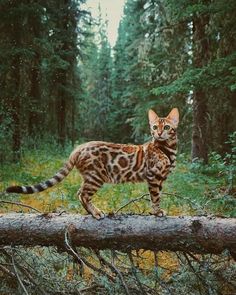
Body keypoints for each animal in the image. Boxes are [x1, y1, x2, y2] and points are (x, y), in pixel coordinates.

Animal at [6, 108, 179, 220]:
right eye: (154, 127)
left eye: (167, 127)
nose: (158, 133)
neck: (167, 148)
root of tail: (78, 148)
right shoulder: (153, 176)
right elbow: (155, 196)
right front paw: (157, 212)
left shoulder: (161, 179)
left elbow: (159, 194)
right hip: (96, 176)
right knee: (82, 194)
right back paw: (96, 213)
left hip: (90, 177)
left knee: (79, 193)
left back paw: (91, 212)